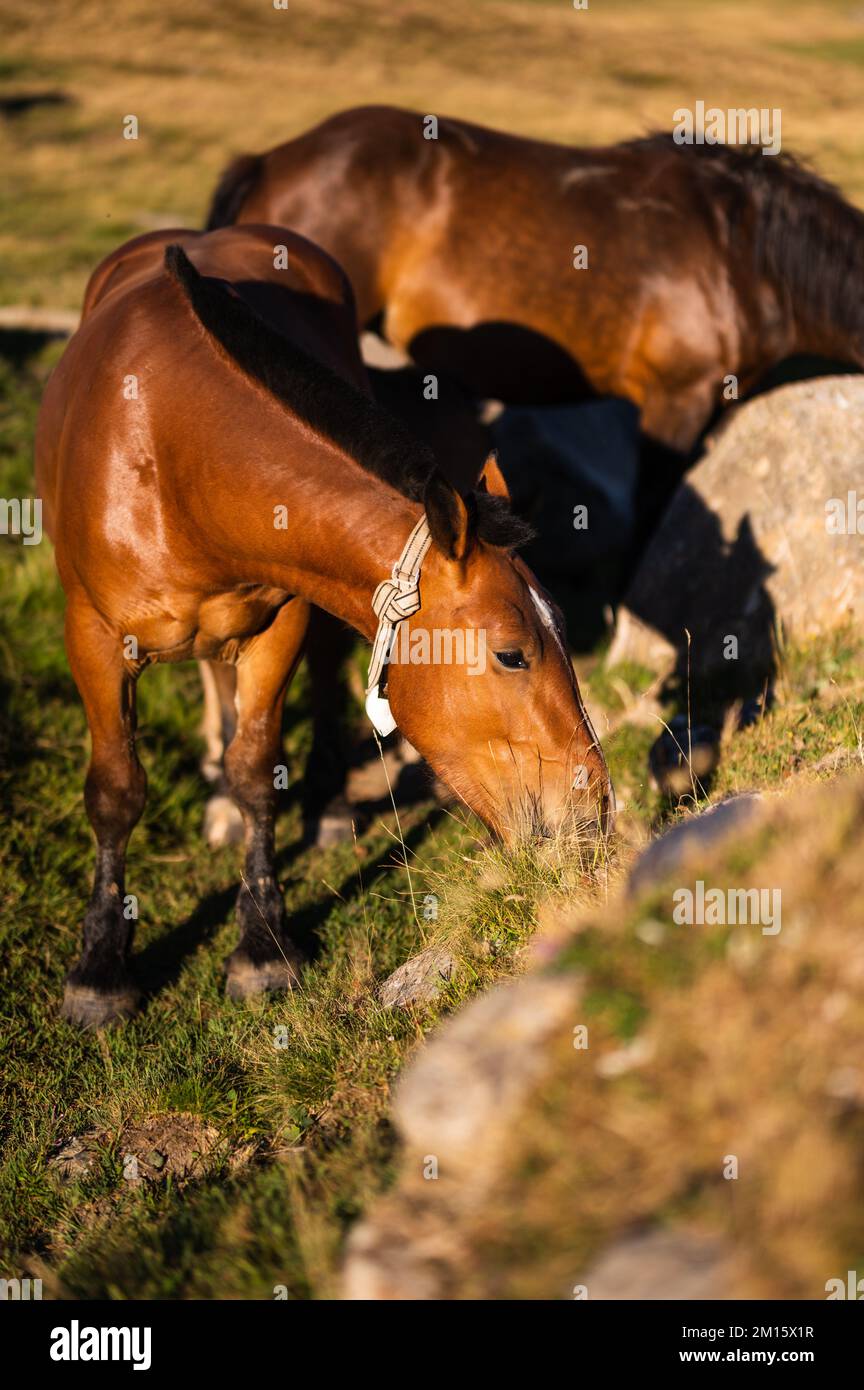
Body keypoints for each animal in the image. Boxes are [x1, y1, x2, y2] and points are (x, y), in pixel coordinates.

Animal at [35, 224, 613, 1029]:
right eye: (511, 655)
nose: (595, 808)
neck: (173, 452)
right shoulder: (90, 635)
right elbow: (116, 789)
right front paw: (99, 970)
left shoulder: (281, 621)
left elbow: (257, 772)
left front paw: (262, 947)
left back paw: (330, 805)